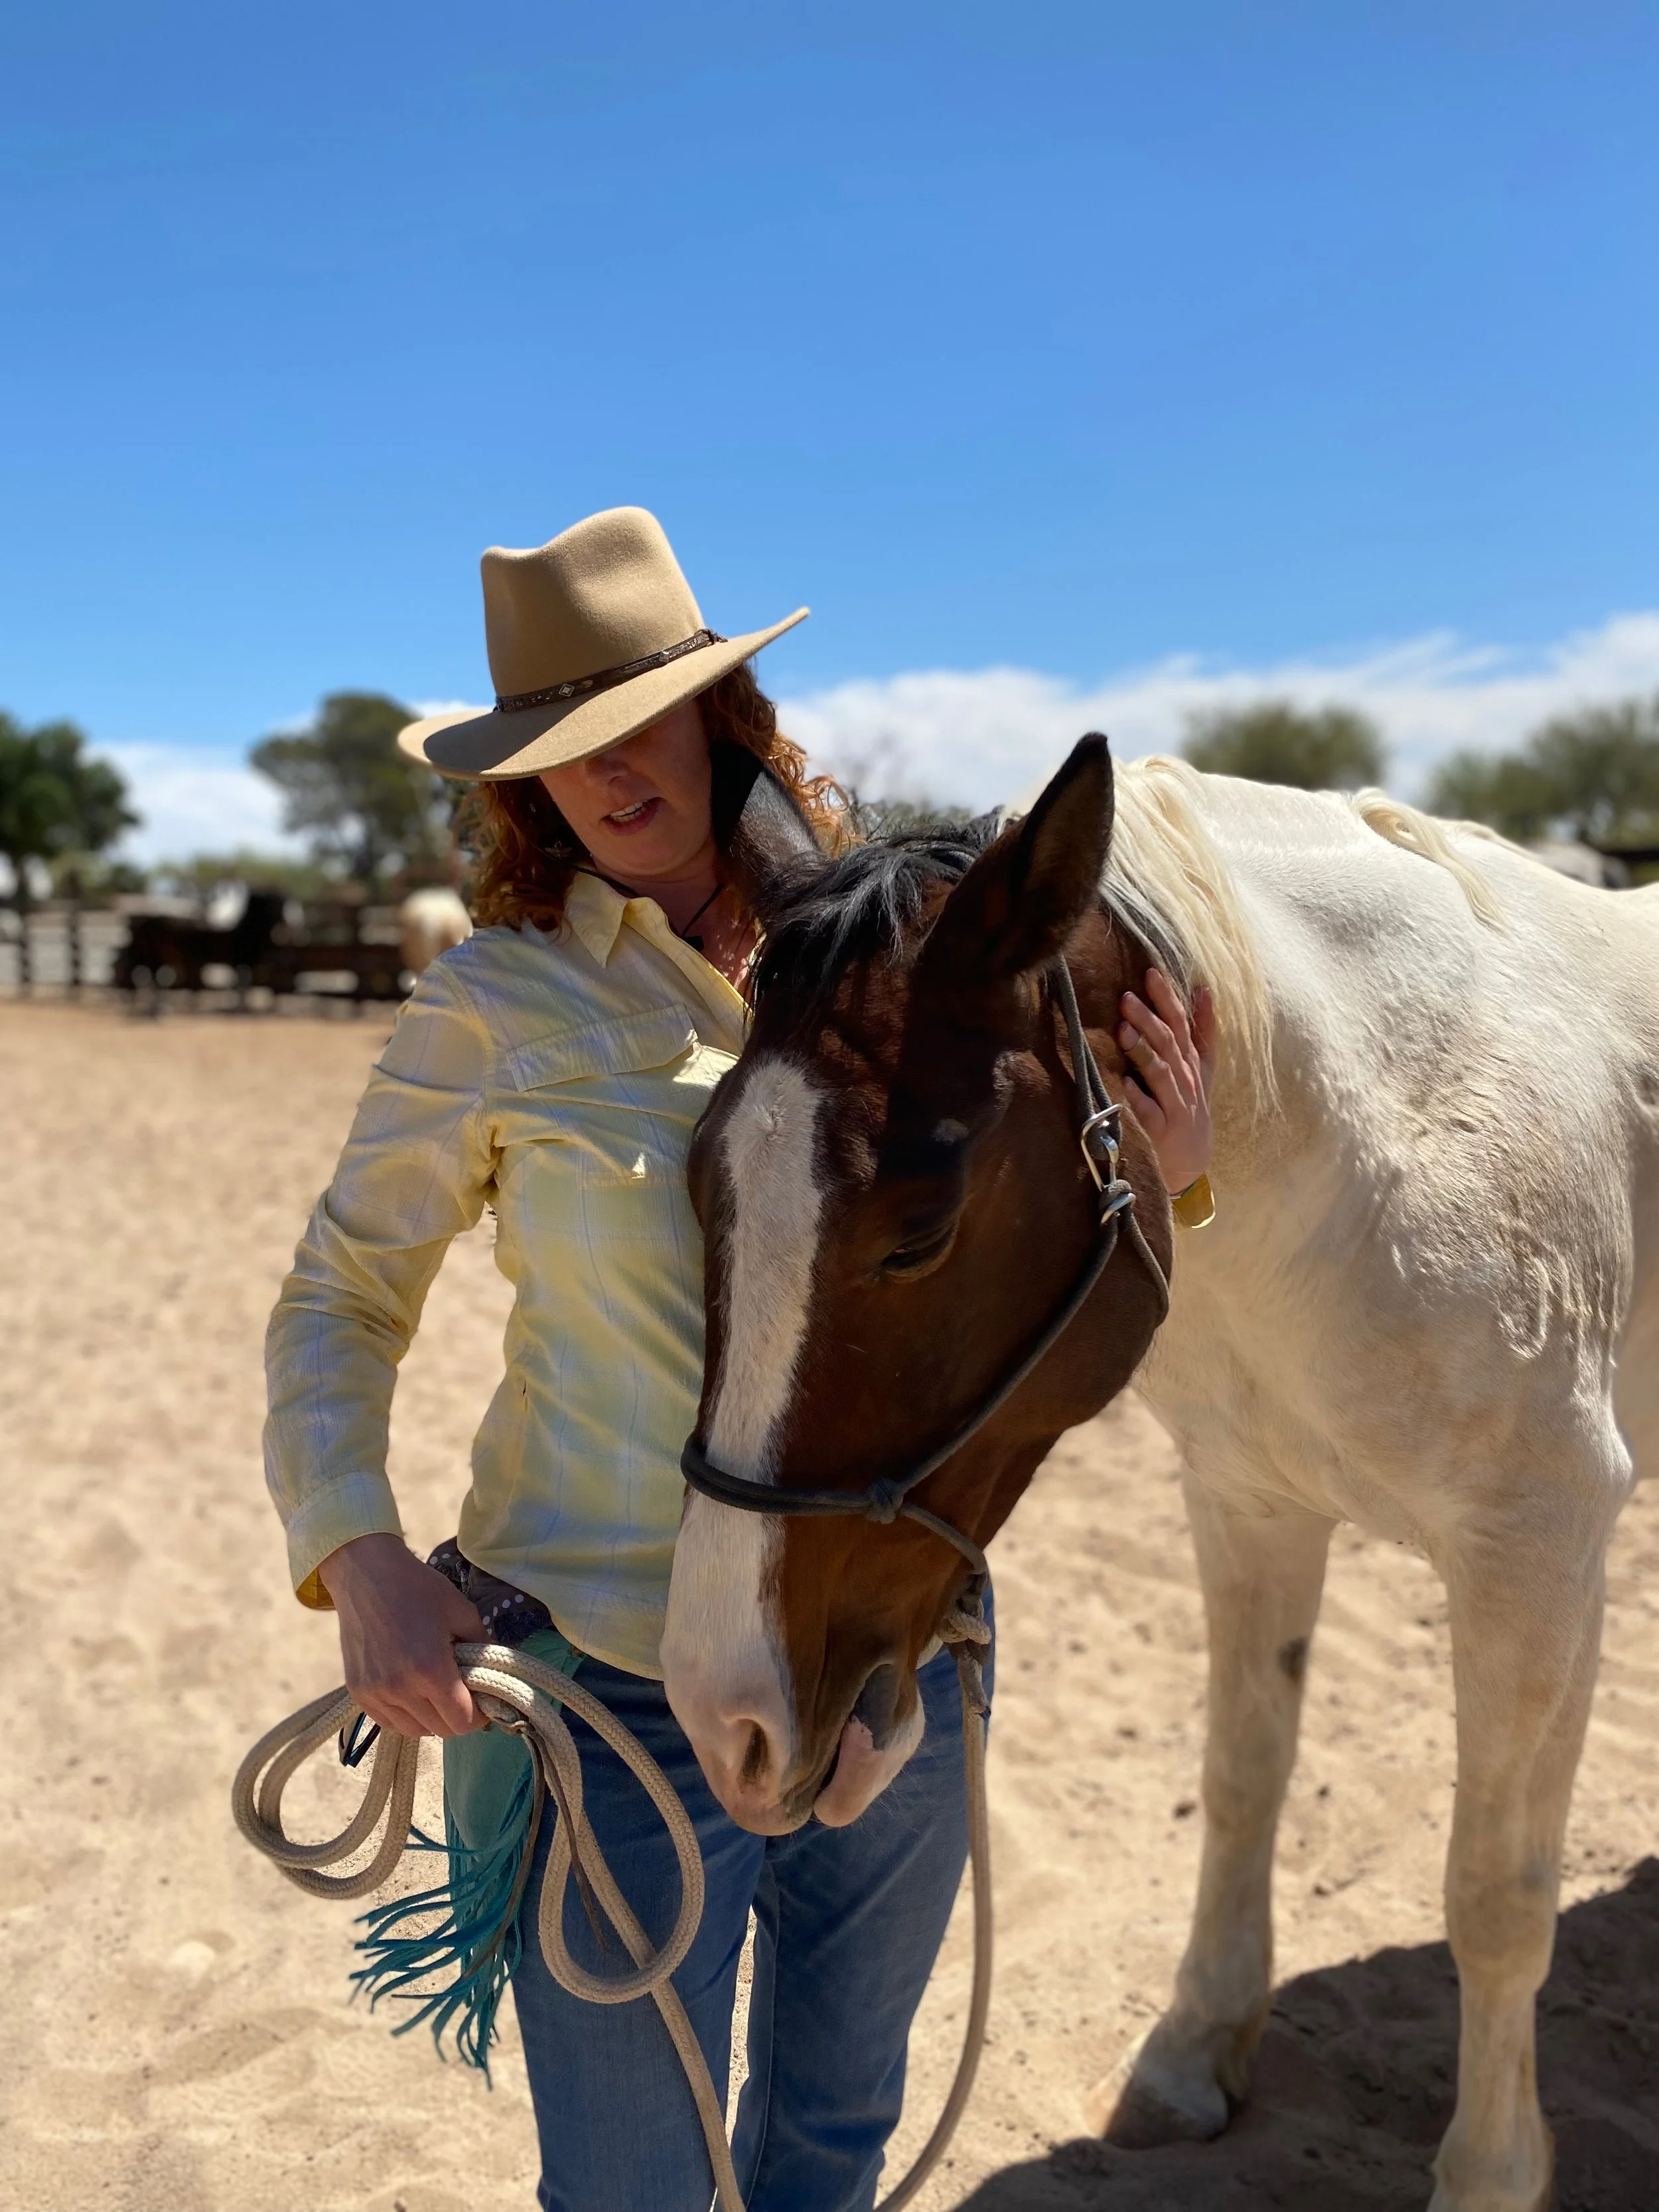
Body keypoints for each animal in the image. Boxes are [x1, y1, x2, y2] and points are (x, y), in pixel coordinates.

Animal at [659, 735, 1659, 2212]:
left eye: (919, 1227)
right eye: (701, 1182)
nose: (722, 1712)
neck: (1386, 1130)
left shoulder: (1535, 1557)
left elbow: (1494, 1887)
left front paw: (1488, 2170)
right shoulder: (1250, 1508)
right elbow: (1242, 1782)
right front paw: (1192, 2055)